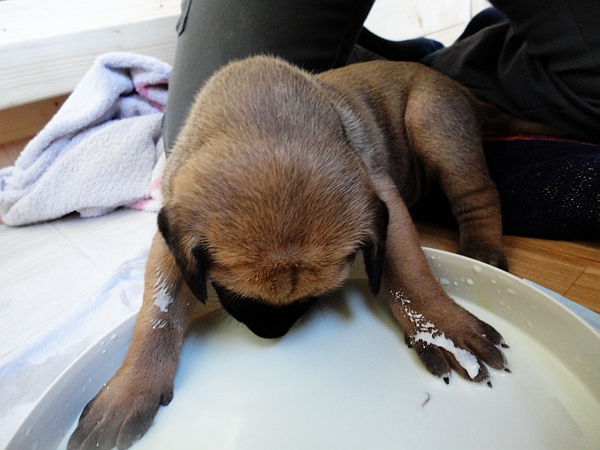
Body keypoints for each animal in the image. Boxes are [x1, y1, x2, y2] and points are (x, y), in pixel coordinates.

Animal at [68, 55, 552, 449]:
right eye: (232, 293)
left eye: (313, 296)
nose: (272, 334)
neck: (266, 118)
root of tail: (454, 84)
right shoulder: (169, 238)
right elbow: (159, 312)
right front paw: (130, 389)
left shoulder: (383, 199)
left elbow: (409, 271)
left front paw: (439, 327)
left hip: (432, 122)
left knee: (478, 196)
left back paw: (482, 248)